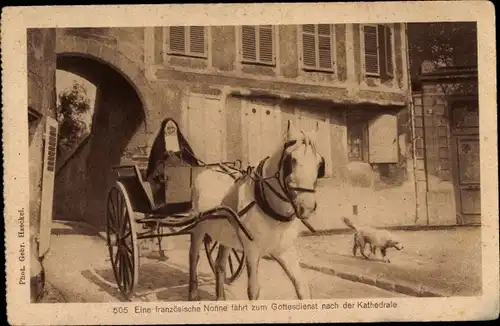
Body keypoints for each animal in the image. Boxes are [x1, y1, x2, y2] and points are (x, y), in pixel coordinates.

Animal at [187, 120, 324, 300]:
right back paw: (193, 294)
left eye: (320, 164)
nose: (306, 206)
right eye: (291, 160)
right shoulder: (252, 250)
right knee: (193, 256)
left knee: (219, 264)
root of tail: (210, 169)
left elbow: (302, 286)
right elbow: (253, 291)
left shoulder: (285, 249)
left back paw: (220, 298)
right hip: (198, 228)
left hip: (225, 236)